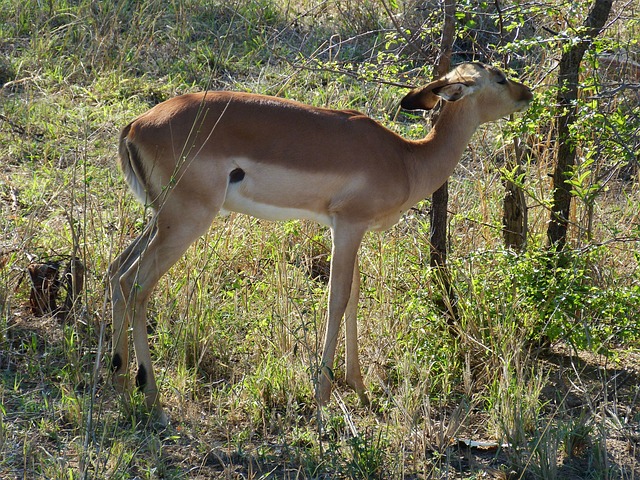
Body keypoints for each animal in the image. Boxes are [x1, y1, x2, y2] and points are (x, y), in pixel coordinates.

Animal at [111, 61, 536, 424]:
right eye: (499, 78)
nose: (527, 93)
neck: (406, 158)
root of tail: (135, 126)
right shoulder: (347, 225)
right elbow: (337, 298)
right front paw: (323, 396)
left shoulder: (349, 230)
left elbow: (354, 298)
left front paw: (361, 390)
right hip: (186, 220)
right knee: (135, 282)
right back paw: (152, 397)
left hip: (162, 218)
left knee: (117, 270)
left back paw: (120, 380)